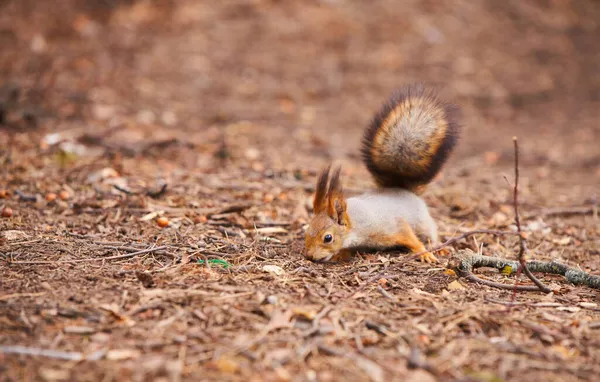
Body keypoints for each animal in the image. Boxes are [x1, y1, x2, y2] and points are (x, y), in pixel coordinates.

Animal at [304, 83, 460, 262]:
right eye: (307, 230)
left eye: (328, 238)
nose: (309, 256)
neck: (358, 222)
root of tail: (400, 188)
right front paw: (340, 254)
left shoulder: (393, 226)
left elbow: (411, 238)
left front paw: (424, 252)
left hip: (423, 221)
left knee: (431, 232)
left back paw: (438, 246)